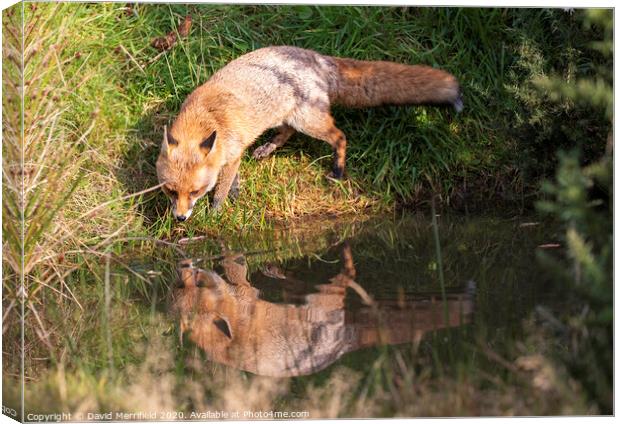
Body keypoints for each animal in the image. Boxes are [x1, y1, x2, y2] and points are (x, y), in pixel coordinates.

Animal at [157, 45, 462, 220]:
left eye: (196, 191)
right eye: (170, 190)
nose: (180, 218)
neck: (208, 117)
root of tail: (316, 57)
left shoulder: (231, 153)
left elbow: (221, 189)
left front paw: (216, 210)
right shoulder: (232, 153)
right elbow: (232, 178)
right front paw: (235, 192)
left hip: (309, 120)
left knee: (339, 136)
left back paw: (338, 170)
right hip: (289, 116)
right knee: (287, 132)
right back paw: (267, 148)